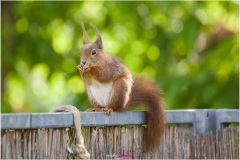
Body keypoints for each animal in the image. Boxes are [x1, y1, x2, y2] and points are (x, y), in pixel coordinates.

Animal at [76, 22, 166, 151]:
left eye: (94, 52)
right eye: (80, 53)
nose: (83, 62)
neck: (100, 61)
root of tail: (124, 104)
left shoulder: (111, 67)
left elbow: (104, 75)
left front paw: (90, 68)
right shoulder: (90, 82)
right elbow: (88, 81)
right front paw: (81, 70)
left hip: (120, 88)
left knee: (115, 107)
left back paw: (110, 108)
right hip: (91, 94)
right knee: (100, 105)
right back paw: (96, 108)